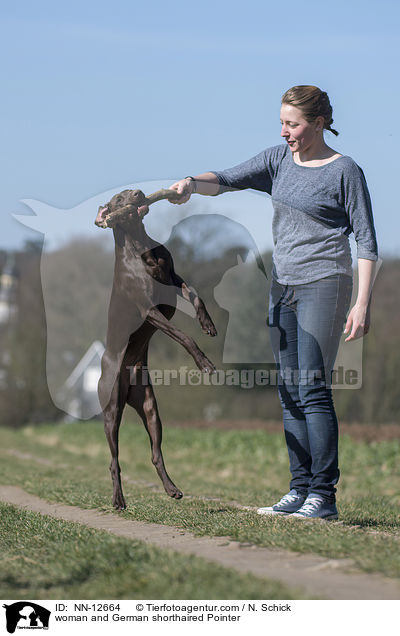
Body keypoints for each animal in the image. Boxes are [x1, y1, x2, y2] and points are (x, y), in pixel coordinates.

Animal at [95, 190, 217, 512]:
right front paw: (204, 363)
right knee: (114, 460)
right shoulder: (149, 310)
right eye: (118, 199)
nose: (138, 193)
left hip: (149, 407)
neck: (140, 245)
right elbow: (184, 337)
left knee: (155, 453)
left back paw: (172, 489)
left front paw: (207, 323)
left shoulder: (174, 279)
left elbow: (196, 296)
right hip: (111, 411)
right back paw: (118, 500)